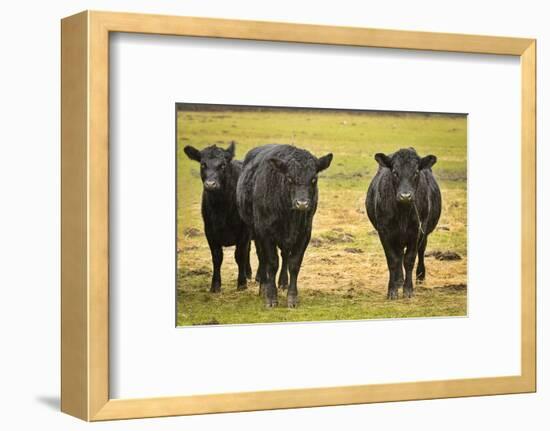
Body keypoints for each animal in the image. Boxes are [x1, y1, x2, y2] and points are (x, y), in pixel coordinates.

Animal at [185, 142, 254, 294]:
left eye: (222, 165)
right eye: (203, 164)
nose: (211, 184)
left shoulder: (244, 231)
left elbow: (240, 255)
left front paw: (242, 283)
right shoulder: (209, 231)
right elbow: (217, 257)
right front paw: (215, 285)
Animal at [236, 145, 332, 308]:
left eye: (314, 179)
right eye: (289, 178)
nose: (302, 203)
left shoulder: (304, 234)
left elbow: (294, 264)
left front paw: (292, 297)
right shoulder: (265, 233)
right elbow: (272, 263)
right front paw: (271, 296)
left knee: (285, 255)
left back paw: (283, 282)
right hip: (255, 231)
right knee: (262, 258)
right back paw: (263, 285)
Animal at [366, 148, 444, 300]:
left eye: (416, 172)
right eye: (395, 172)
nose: (405, 196)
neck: (402, 213)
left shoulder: (416, 232)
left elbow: (409, 260)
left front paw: (408, 290)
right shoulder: (384, 232)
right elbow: (392, 260)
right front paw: (392, 290)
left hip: (423, 233)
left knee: (420, 251)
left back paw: (420, 277)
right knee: (399, 255)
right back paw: (398, 280)